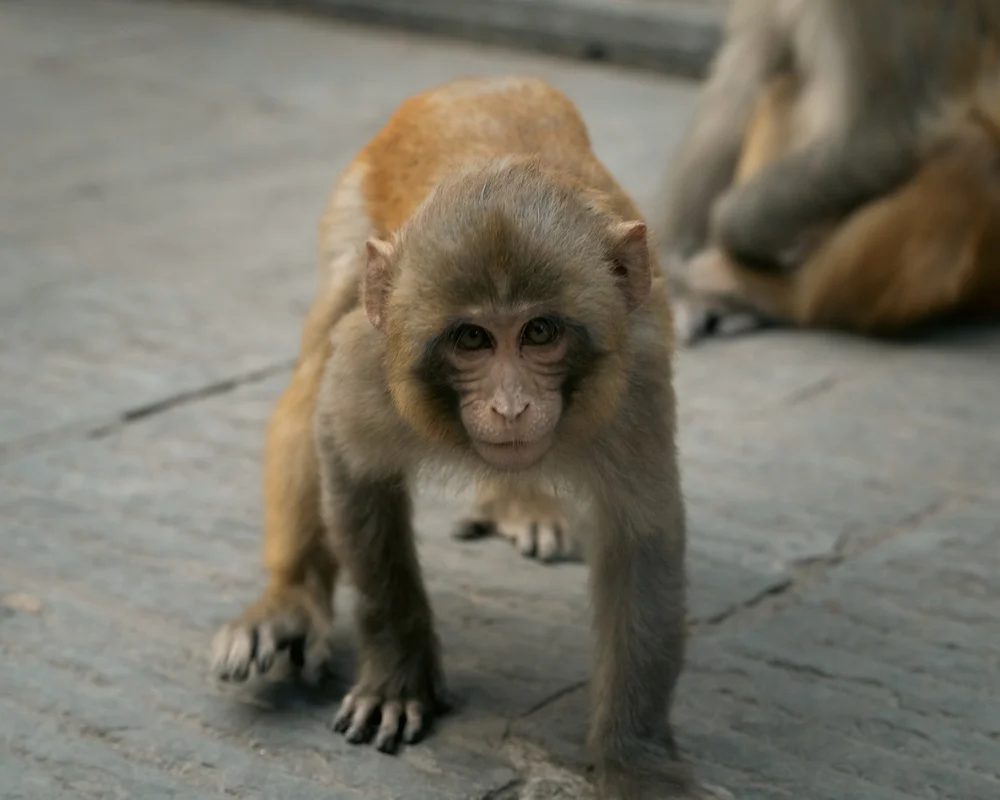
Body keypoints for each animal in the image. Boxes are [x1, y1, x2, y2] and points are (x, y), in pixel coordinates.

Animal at [210, 76, 699, 799]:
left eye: (540, 332)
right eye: (472, 339)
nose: (510, 405)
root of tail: (480, 82)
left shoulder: (633, 379)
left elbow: (641, 539)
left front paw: (636, 763)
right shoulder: (374, 359)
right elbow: (349, 458)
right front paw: (397, 679)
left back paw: (517, 503)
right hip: (351, 222)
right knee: (312, 369)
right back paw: (288, 602)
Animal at [654, 0, 1000, 341]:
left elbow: (884, 133)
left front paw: (732, 236)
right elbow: (741, 79)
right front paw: (668, 266)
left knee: (971, 156)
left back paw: (779, 295)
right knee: (785, 76)